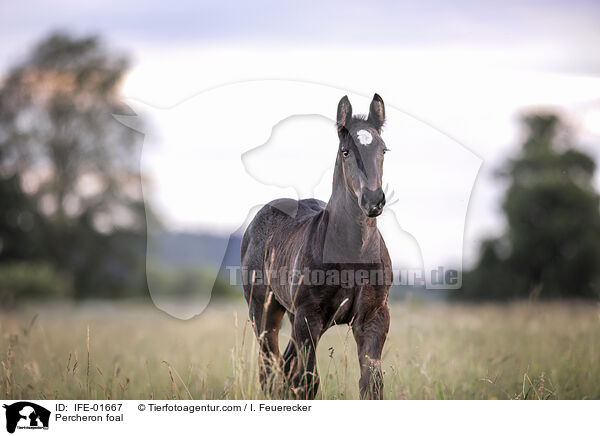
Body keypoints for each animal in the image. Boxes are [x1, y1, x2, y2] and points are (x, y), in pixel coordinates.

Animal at [241, 93, 392, 400]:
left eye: (383, 150)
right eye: (345, 151)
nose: (373, 200)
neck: (352, 254)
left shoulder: (374, 317)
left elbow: (371, 383)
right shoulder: (309, 316)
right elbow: (308, 381)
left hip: (291, 314)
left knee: (284, 366)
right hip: (263, 311)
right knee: (270, 369)